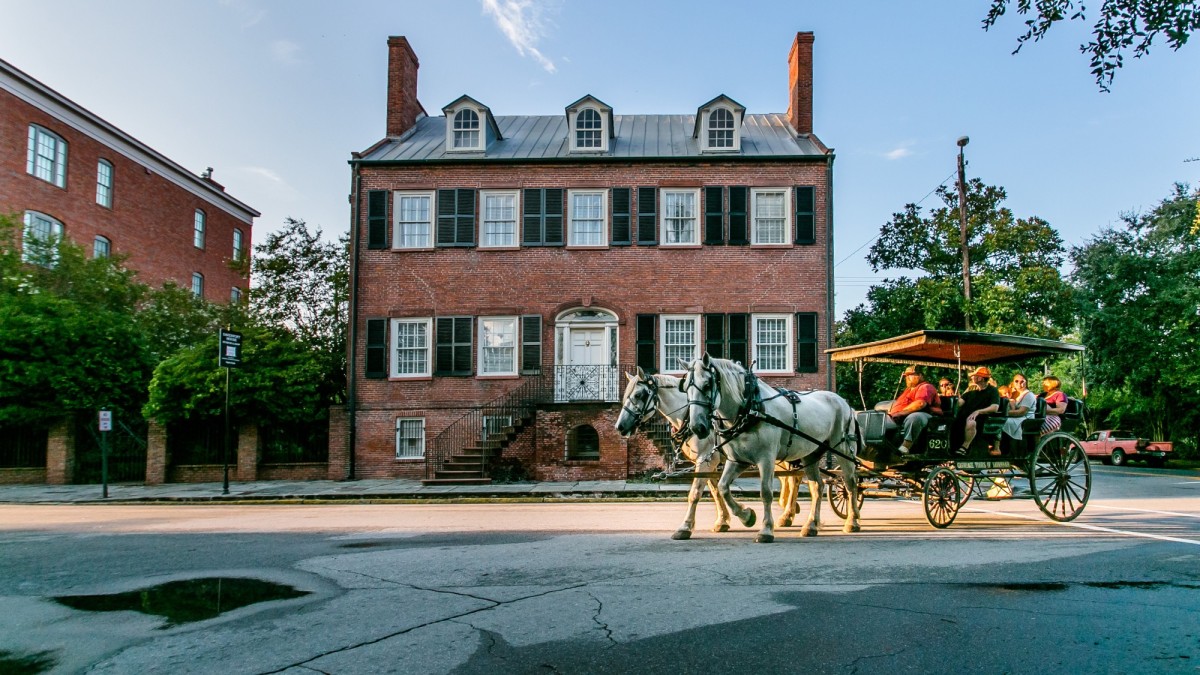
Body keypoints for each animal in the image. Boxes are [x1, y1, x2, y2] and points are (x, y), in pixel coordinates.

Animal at [614, 365, 801, 538]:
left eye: (639, 395)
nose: (620, 426)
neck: (689, 414)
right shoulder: (708, 460)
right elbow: (716, 490)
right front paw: (724, 520)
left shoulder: (706, 459)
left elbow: (695, 492)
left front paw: (686, 527)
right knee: (790, 479)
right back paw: (788, 510)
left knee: (795, 479)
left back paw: (788, 513)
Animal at [686, 353, 864, 540]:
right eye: (686, 389)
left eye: (707, 385)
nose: (697, 427)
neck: (751, 408)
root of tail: (845, 403)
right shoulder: (737, 460)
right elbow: (723, 487)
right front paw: (747, 516)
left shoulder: (766, 458)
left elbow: (765, 492)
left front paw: (765, 529)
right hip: (811, 453)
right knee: (817, 486)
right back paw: (811, 525)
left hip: (843, 449)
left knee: (850, 484)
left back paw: (852, 521)